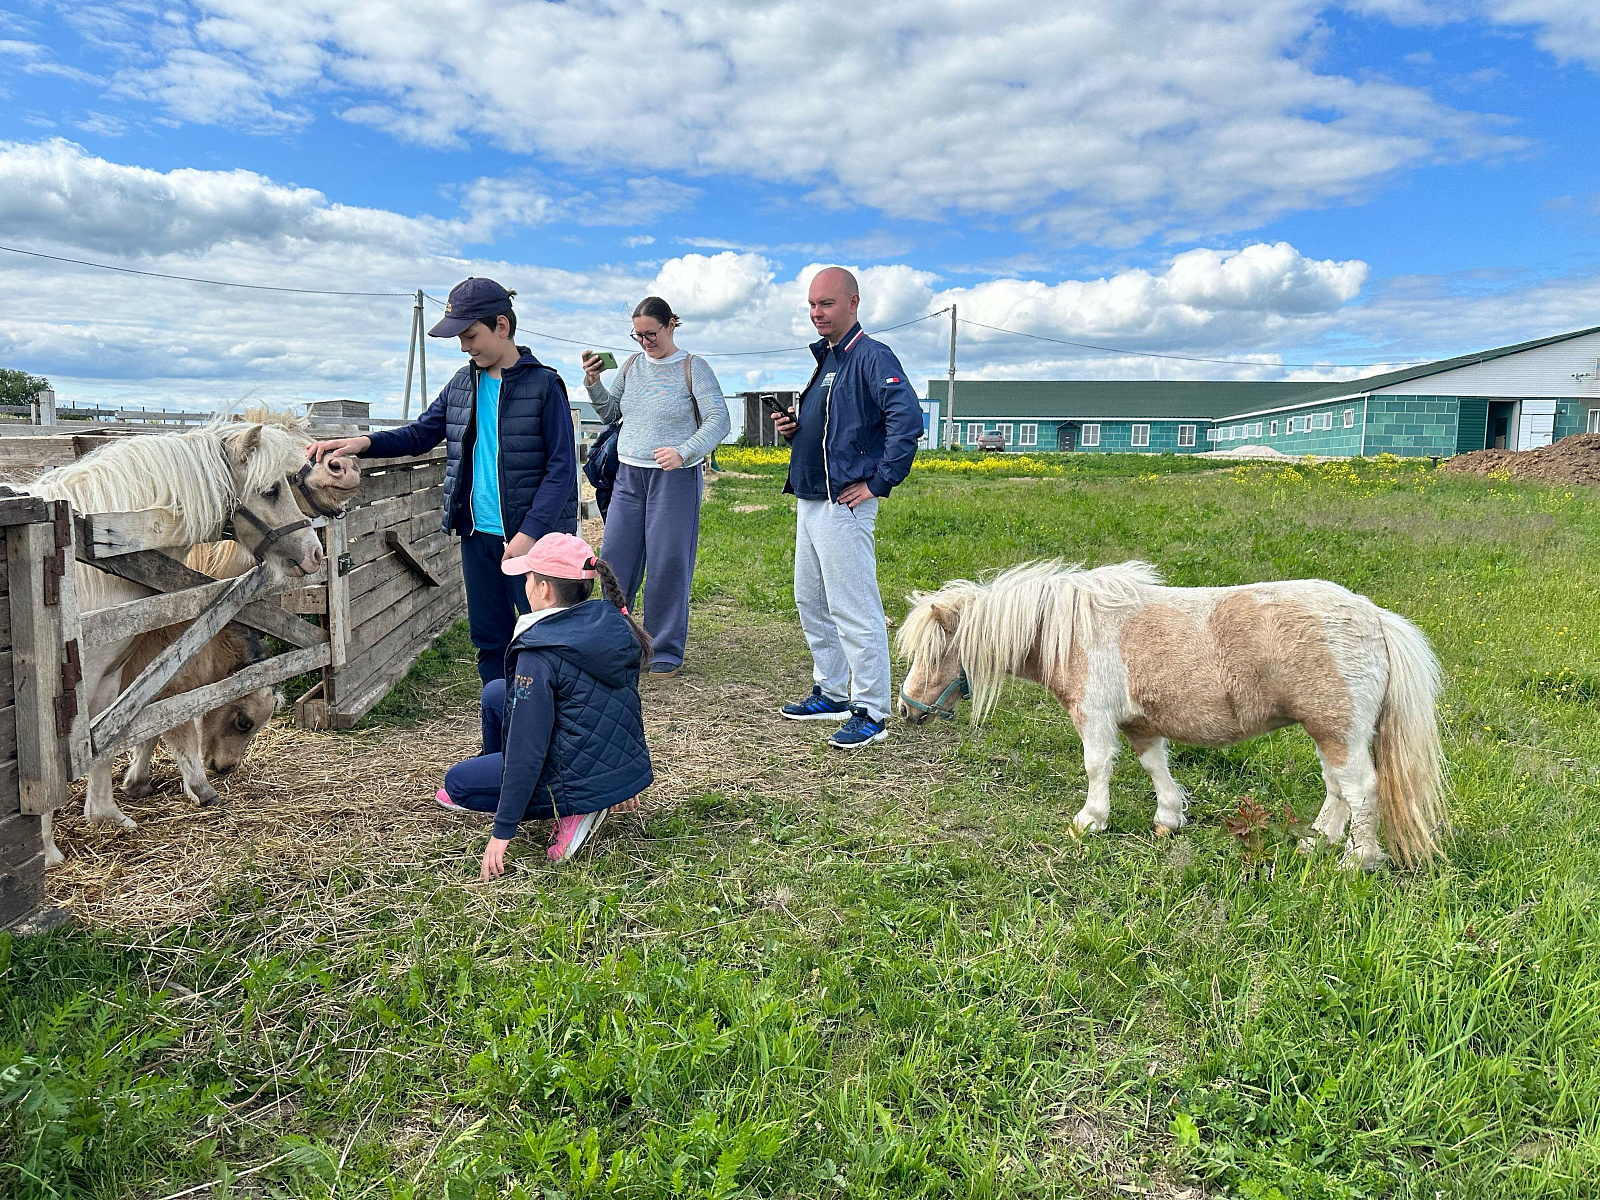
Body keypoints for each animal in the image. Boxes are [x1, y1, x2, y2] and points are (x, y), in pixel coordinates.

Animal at [23, 419, 353, 864]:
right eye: (271, 489)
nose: (316, 554)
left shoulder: (116, 685)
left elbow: (117, 742)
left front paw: (111, 809)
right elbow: (173, 734)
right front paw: (47, 851)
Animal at [902, 560, 1452, 870]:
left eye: (933, 653)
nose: (907, 709)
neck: (1071, 631)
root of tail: (1374, 617)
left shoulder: (1095, 718)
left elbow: (1097, 767)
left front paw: (1089, 822)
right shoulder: (1140, 724)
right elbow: (1155, 767)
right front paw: (1168, 818)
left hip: (1337, 730)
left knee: (1359, 789)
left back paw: (1357, 860)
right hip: (1329, 733)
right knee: (1338, 790)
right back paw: (1314, 845)